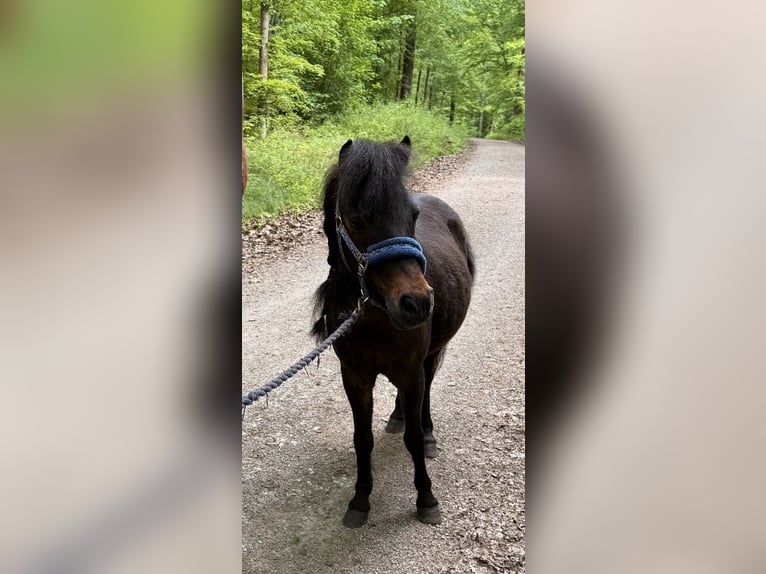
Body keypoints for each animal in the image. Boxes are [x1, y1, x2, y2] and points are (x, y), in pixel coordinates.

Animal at [311, 136, 475, 528]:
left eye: (412, 217)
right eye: (357, 219)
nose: (417, 302)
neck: (374, 317)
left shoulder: (411, 371)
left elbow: (414, 438)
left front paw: (426, 498)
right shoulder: (355, 377)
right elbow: (362, 439)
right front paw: (359, 500)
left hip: (428, 357)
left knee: (427, 389)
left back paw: (427, 432)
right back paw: (398, 416)